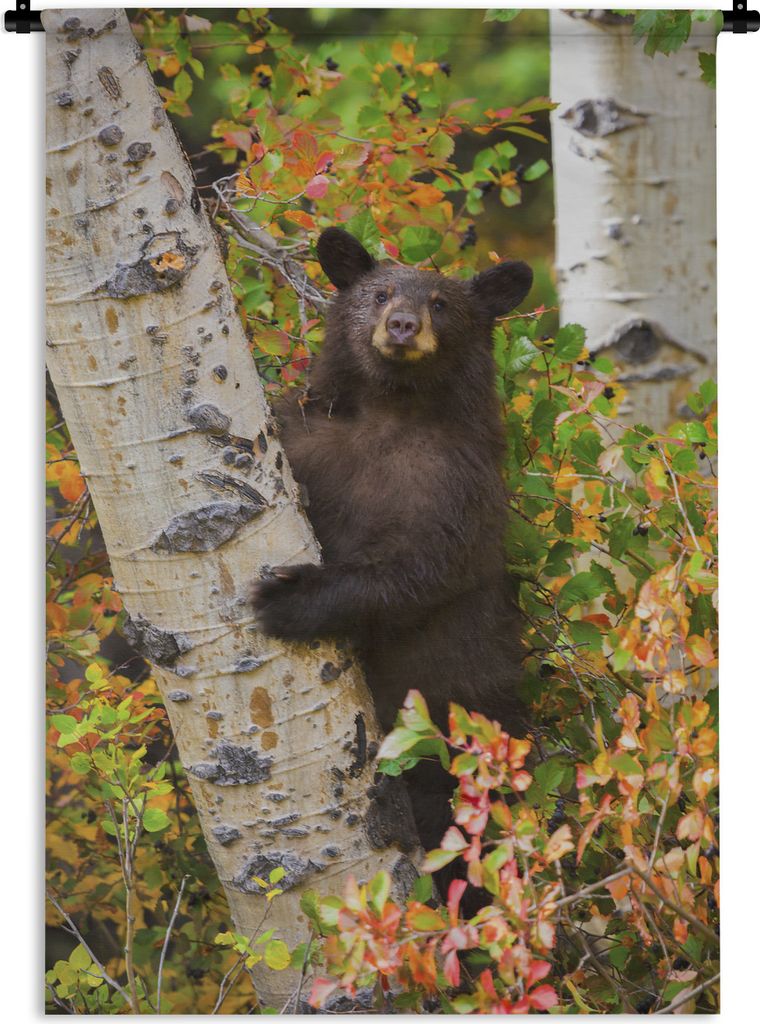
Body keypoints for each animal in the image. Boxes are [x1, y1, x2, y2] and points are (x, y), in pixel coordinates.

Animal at [251, 227, 532, 854]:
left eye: (442, 304)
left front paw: (290, 597)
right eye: (379, 294)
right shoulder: (307, 438)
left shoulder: (457, 486)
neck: (393, 409)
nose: (403, 324)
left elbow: (419, 568)